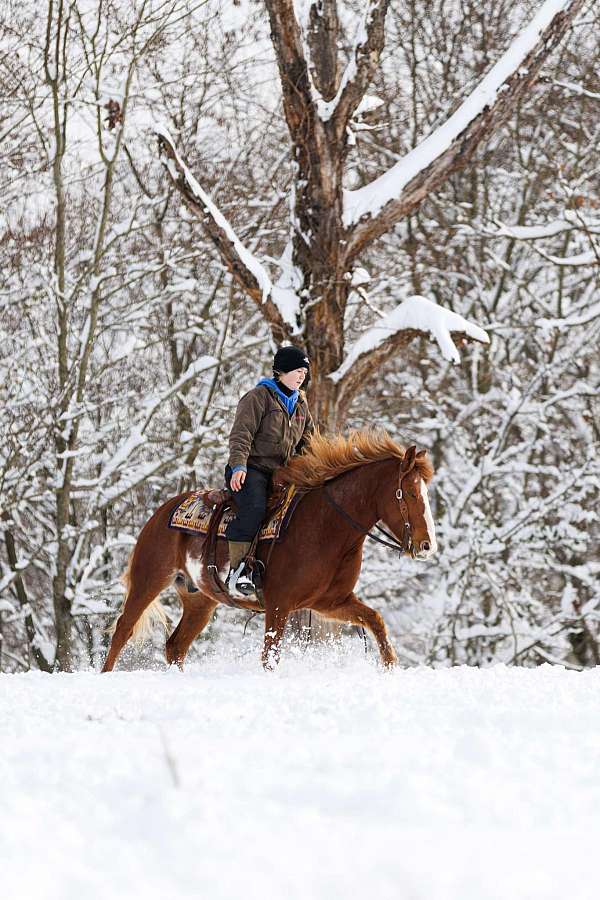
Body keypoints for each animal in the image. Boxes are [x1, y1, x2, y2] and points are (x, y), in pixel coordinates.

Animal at [101, 430, 434, 676]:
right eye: (410, 493)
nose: (427, 544)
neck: (326, 525)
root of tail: (162, 511)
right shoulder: (278, 605)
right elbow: (270, 656)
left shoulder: (330, 602)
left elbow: (375, 620)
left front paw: (390, 666)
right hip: (150, 579)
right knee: (123, 630)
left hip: (200, 601)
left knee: (175, 647)